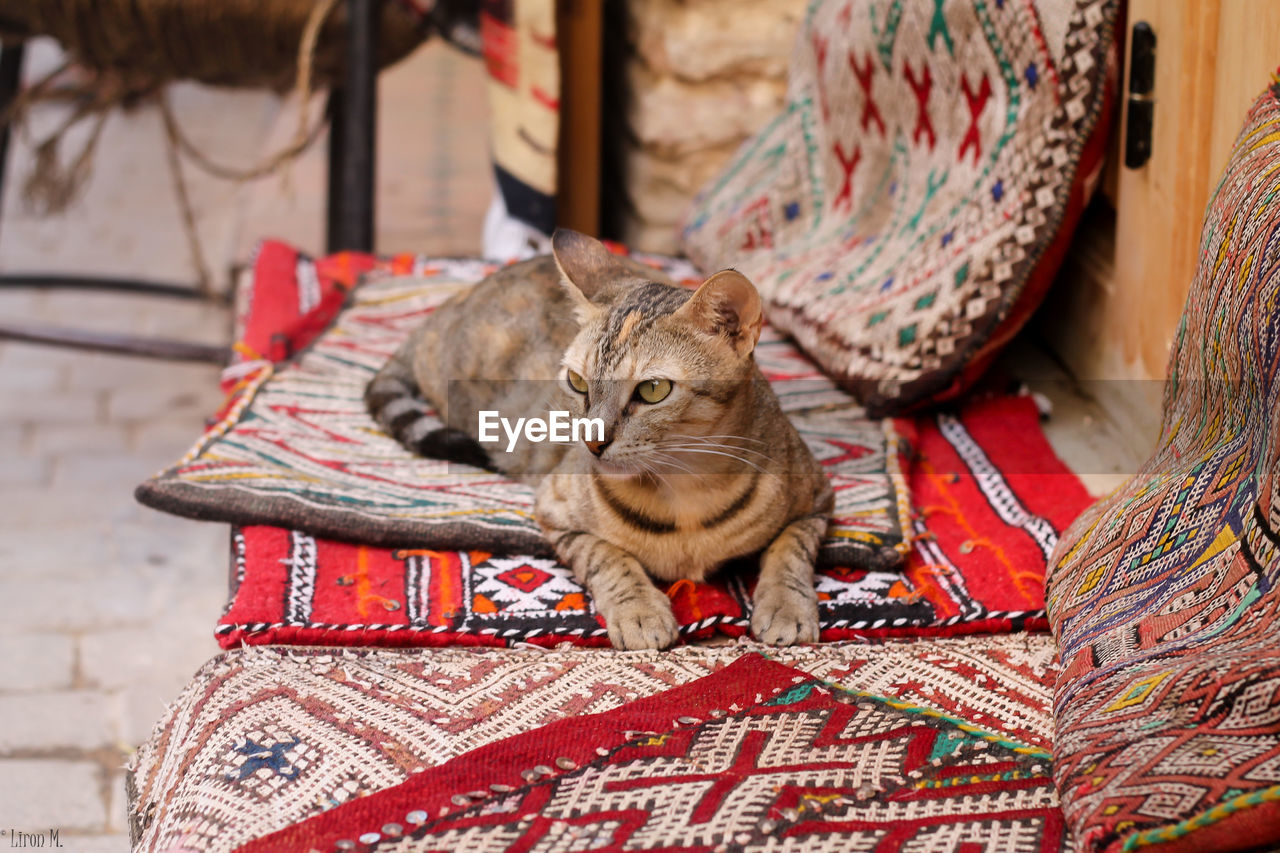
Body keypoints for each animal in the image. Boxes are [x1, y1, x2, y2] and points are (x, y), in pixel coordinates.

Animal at [366, 229, 834, 648]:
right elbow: (609, 556)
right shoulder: (556, 512)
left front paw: (786, 605)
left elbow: (790, 549)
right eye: (577, 382)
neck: (687, 492)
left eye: (653, 389)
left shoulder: (819, 499)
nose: (591, 442)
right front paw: (640, 610)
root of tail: (440, 312)